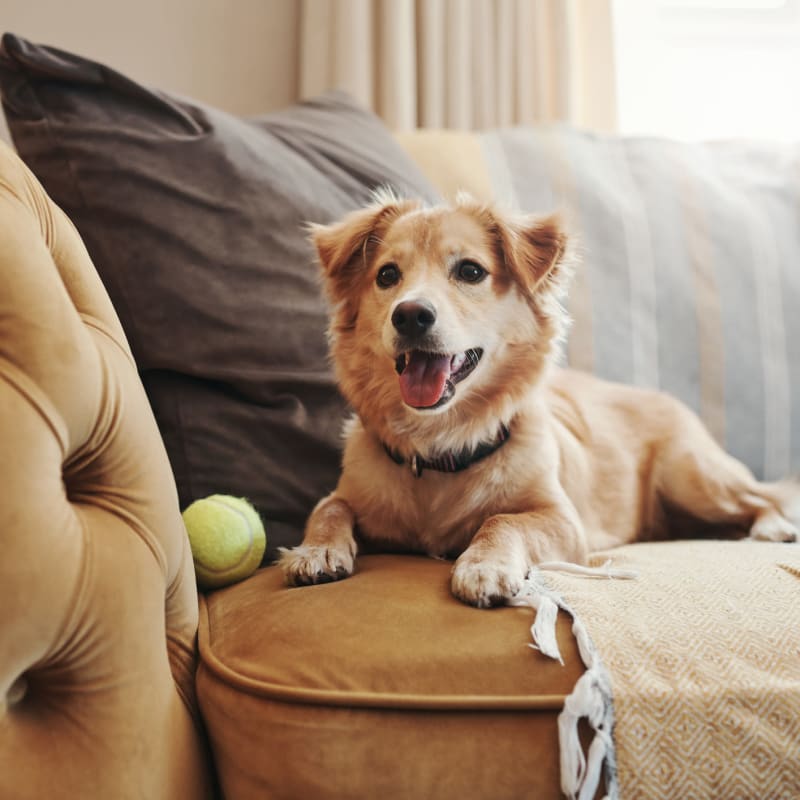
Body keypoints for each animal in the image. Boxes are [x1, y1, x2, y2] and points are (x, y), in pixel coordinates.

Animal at [276, 194, 800, 608]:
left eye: (470, 271)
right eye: (387, 275)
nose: (409, 315)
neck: (442, 446)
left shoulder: (563, 522)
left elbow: (503, 520)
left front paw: (483, 567)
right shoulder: (349, 495)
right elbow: (328, 508)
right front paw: (316, 551)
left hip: (692, 476)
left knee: (763, 496)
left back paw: (772, 527)